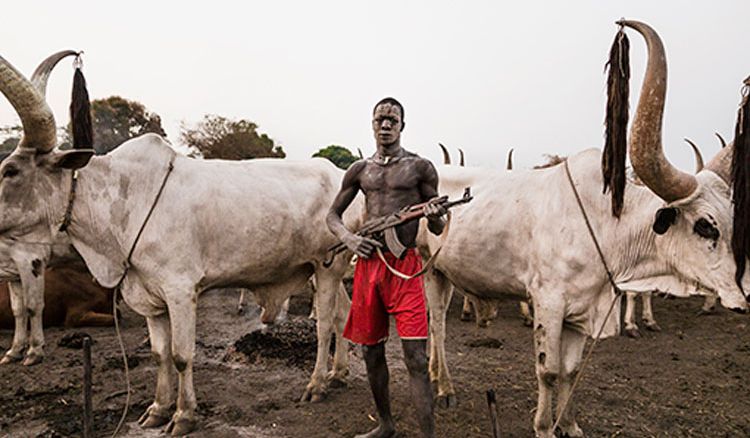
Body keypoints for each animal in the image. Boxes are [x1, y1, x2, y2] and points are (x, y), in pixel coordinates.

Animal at [0, 53, 362, 432]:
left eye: (10, 171)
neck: (125, 198)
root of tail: (340, 174)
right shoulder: (150, 297)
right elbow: (160, 354)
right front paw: (158, 409)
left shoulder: (180, 291)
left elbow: (181, 355)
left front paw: (184, 414)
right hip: (327, 269)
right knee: (342, 314)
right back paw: (338, 374)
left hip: (327, 267)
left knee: (324, 324)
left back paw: (317, 384)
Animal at [420, 21, 748, 438]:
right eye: (706, 226)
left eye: (733, 221)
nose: (743, 295)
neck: (604, 225)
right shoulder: (548, 302)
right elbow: (548, 370)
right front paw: (545, 426)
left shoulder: (581, 310)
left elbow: (571, 371)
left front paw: (571, 424)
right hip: (427, 269)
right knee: (438, 324)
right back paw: (444, 388)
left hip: (445, 272)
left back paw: (436, 377)